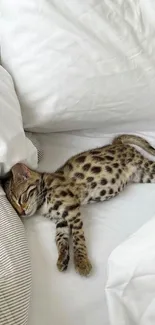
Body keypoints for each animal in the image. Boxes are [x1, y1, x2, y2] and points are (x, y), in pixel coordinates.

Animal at [2, 133, 155, 274]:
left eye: (21, 198)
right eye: (14, 208)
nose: (21, 212)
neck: (43, 198)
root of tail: (117, 144)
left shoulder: (72, 211)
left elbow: (78, 238)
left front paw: (82, 262)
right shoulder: (61, 220)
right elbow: (60, 239)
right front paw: (62, 258)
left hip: (145, 167)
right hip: (142, 176)